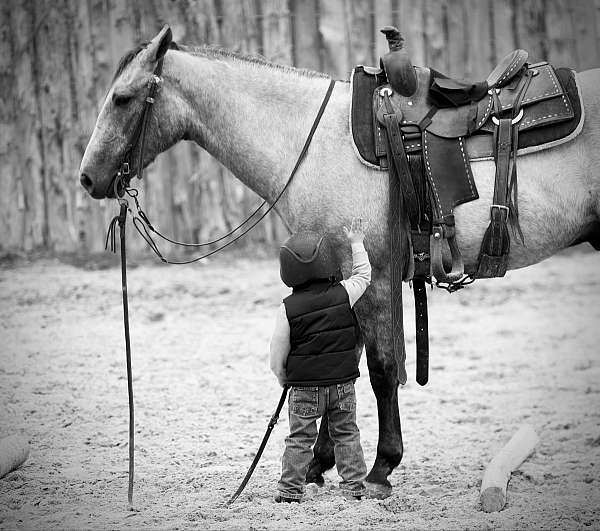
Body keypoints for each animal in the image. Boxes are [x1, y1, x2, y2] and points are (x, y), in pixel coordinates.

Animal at [79, 25, 600, 498]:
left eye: (123, 98)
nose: (87, 178)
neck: (310, 145)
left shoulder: (375, 278)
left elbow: (381, 369)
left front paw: (380, 468)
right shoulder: (337, 278)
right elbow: (337, 365)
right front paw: (319, 463)